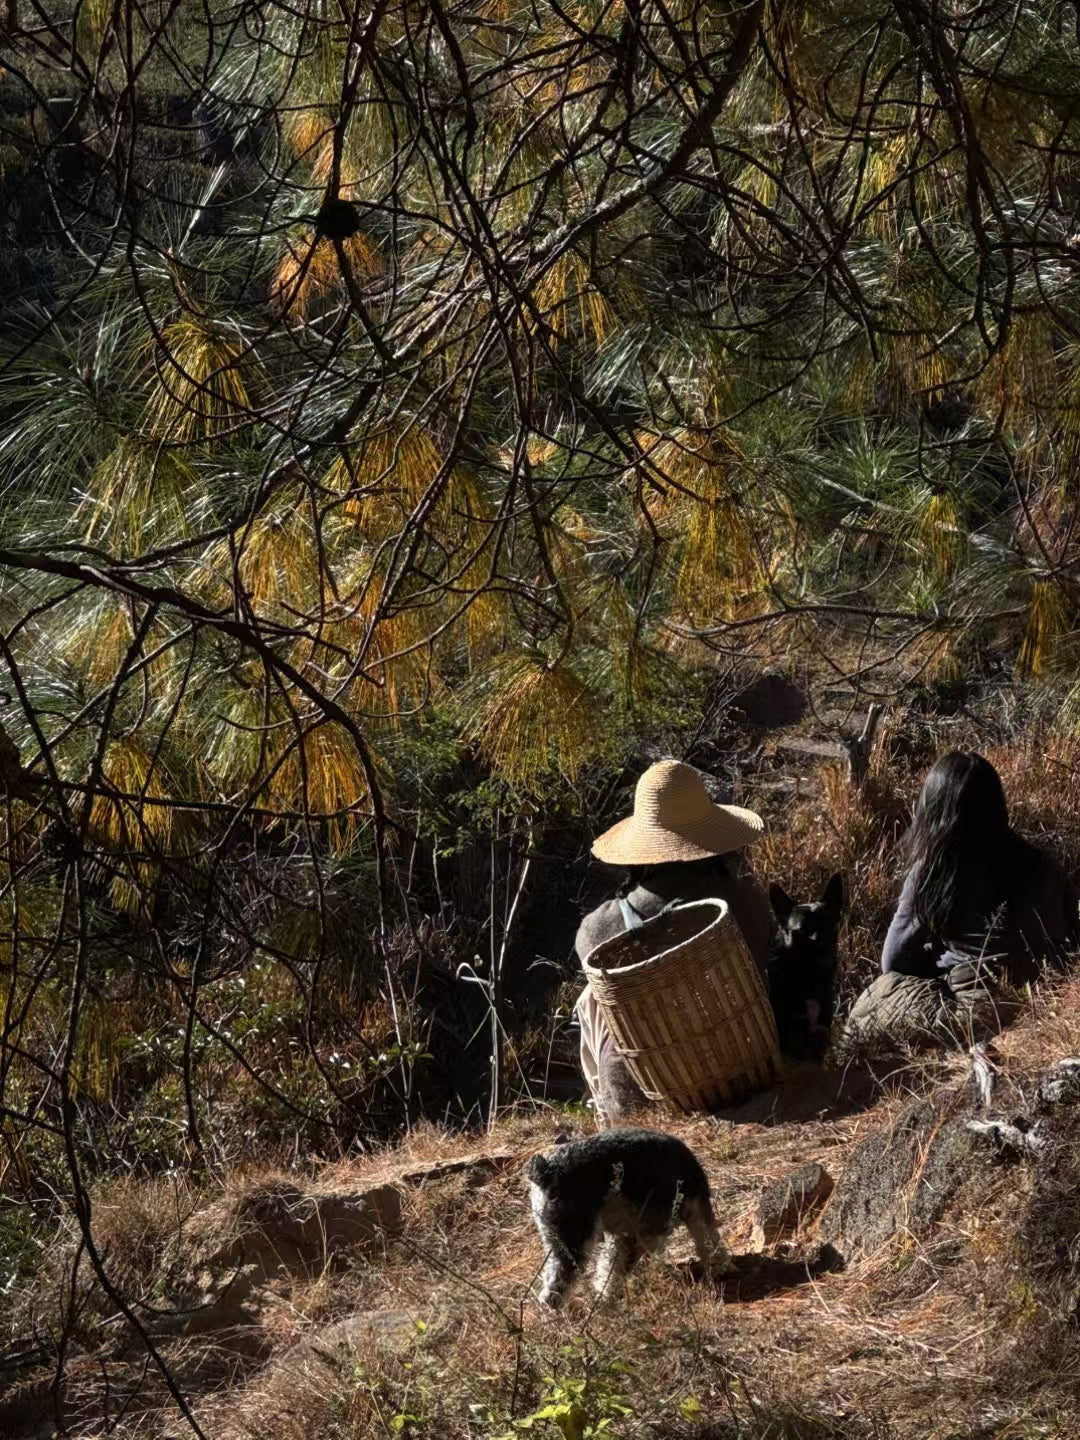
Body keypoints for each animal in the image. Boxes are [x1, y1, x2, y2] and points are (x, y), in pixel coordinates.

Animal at [527, 1128, 737, 1313]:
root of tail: (547, 1173)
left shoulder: (624, 1235)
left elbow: (610, 1269)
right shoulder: (651, 1231)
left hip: (556, 1237)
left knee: (551, 1282)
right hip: (574, 1238)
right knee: (555, 1290)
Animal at [766, 869, 852, 1065]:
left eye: (829, 926)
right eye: (802, 931)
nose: (823, 943)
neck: (808, 974)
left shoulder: (822, 1030)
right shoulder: (795, 1039)